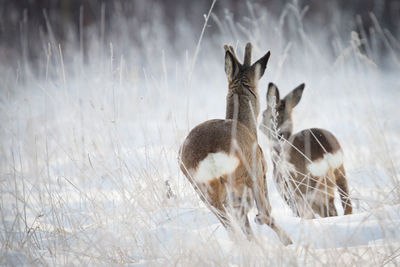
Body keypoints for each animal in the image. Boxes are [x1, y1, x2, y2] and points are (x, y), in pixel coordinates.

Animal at [180, 43, 292, 246]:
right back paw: (284, 239)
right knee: (264, 213)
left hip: (204, 190)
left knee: (234, 231)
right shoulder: (261, 170)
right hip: (249, 174)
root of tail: (211, 153)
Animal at [260, 83, 350, 220]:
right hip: (339, 172)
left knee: (327, 211)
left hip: (307, 186)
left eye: (263, 114)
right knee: (346, 205)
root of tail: (325, 152)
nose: (260, 126)